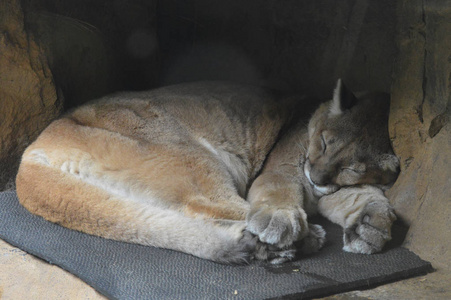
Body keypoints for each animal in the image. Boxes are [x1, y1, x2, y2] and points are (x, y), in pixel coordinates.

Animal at [16, 79, 400, 262]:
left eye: (352, 167)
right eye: (323, 142)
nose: (316, 178)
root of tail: (35, 149)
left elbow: (361, 195)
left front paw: (372, 226)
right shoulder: (285, 170)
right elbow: (278, 191)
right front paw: (283, 219)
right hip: (193, 155)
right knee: (215, 207)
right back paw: (297, 239)